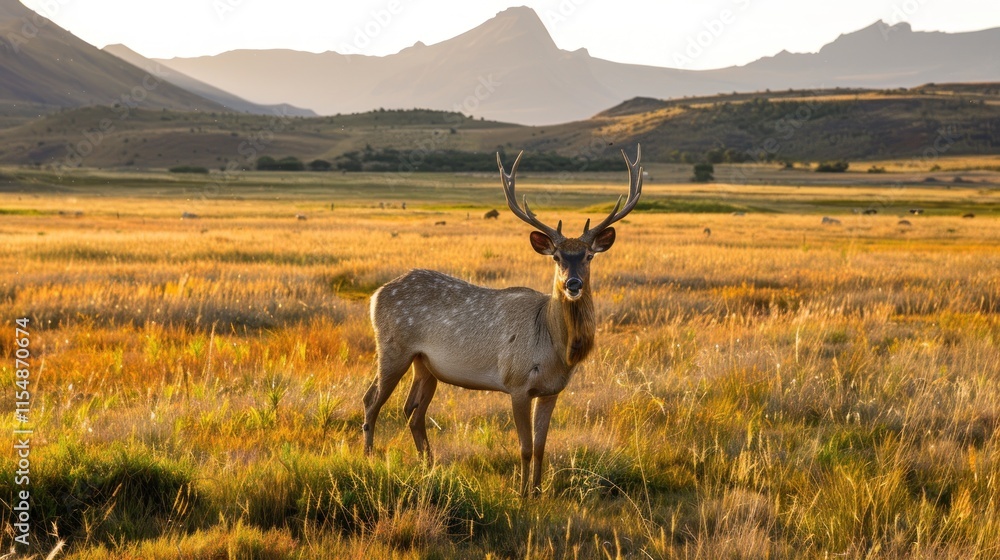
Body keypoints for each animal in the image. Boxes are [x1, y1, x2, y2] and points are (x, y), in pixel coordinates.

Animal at [362, 145, 643, 497]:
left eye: (589, 256)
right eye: (557, 257)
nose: (573, 283)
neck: (554, 347)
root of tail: (375, 295)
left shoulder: (551, 390)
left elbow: (541, 446)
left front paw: (538, 492)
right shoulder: (517, 382)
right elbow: (524, 447)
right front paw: (521, 494)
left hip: (425, 364)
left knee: (412, 412)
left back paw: (430, 467)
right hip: (392, 347)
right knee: (371, 401)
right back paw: (368, 460)